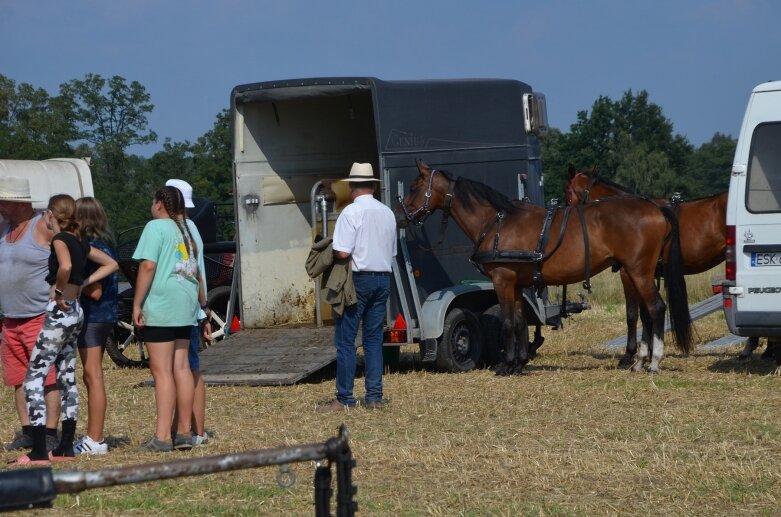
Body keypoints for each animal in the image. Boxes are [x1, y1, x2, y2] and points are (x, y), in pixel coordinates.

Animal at [400, 159, 692, 372]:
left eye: (414, 187)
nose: (401, 215)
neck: (496, 222)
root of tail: (657, 209)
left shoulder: (502, 280)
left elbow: (507, 321)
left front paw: (506, 366)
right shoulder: (517, 283)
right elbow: (519, 321)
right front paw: (518, 363)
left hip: (638, 272)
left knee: (656, 308)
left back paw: (653, 361)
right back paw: (642, 360)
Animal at [568, 167, 724, 364]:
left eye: (567, 191)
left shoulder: (629, 274)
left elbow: (633, 314)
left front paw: (630, 354)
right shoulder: (646, 275)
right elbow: (646, 314)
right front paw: (648, 352)